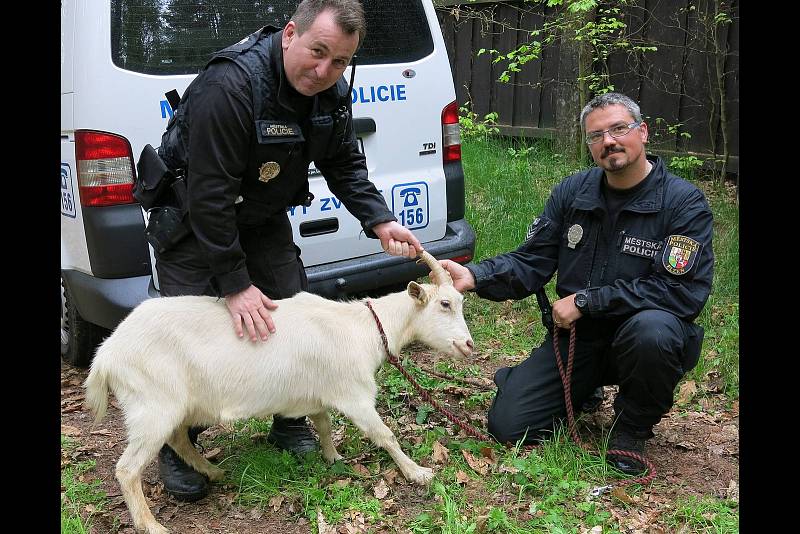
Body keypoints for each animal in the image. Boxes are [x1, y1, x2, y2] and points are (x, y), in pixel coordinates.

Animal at [86, 252, 476, 534]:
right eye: (444, 304)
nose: (468, 345)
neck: (362, 327)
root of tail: (106, 354)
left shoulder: (320, 392)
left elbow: (322, 423)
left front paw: (332, 456)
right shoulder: (355, 394)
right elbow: (384, 434)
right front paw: (418, 473)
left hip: (176, 407)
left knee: (179, 439)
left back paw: (213, 472)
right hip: (153, 406)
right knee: (128, 468)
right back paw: (152, 525)